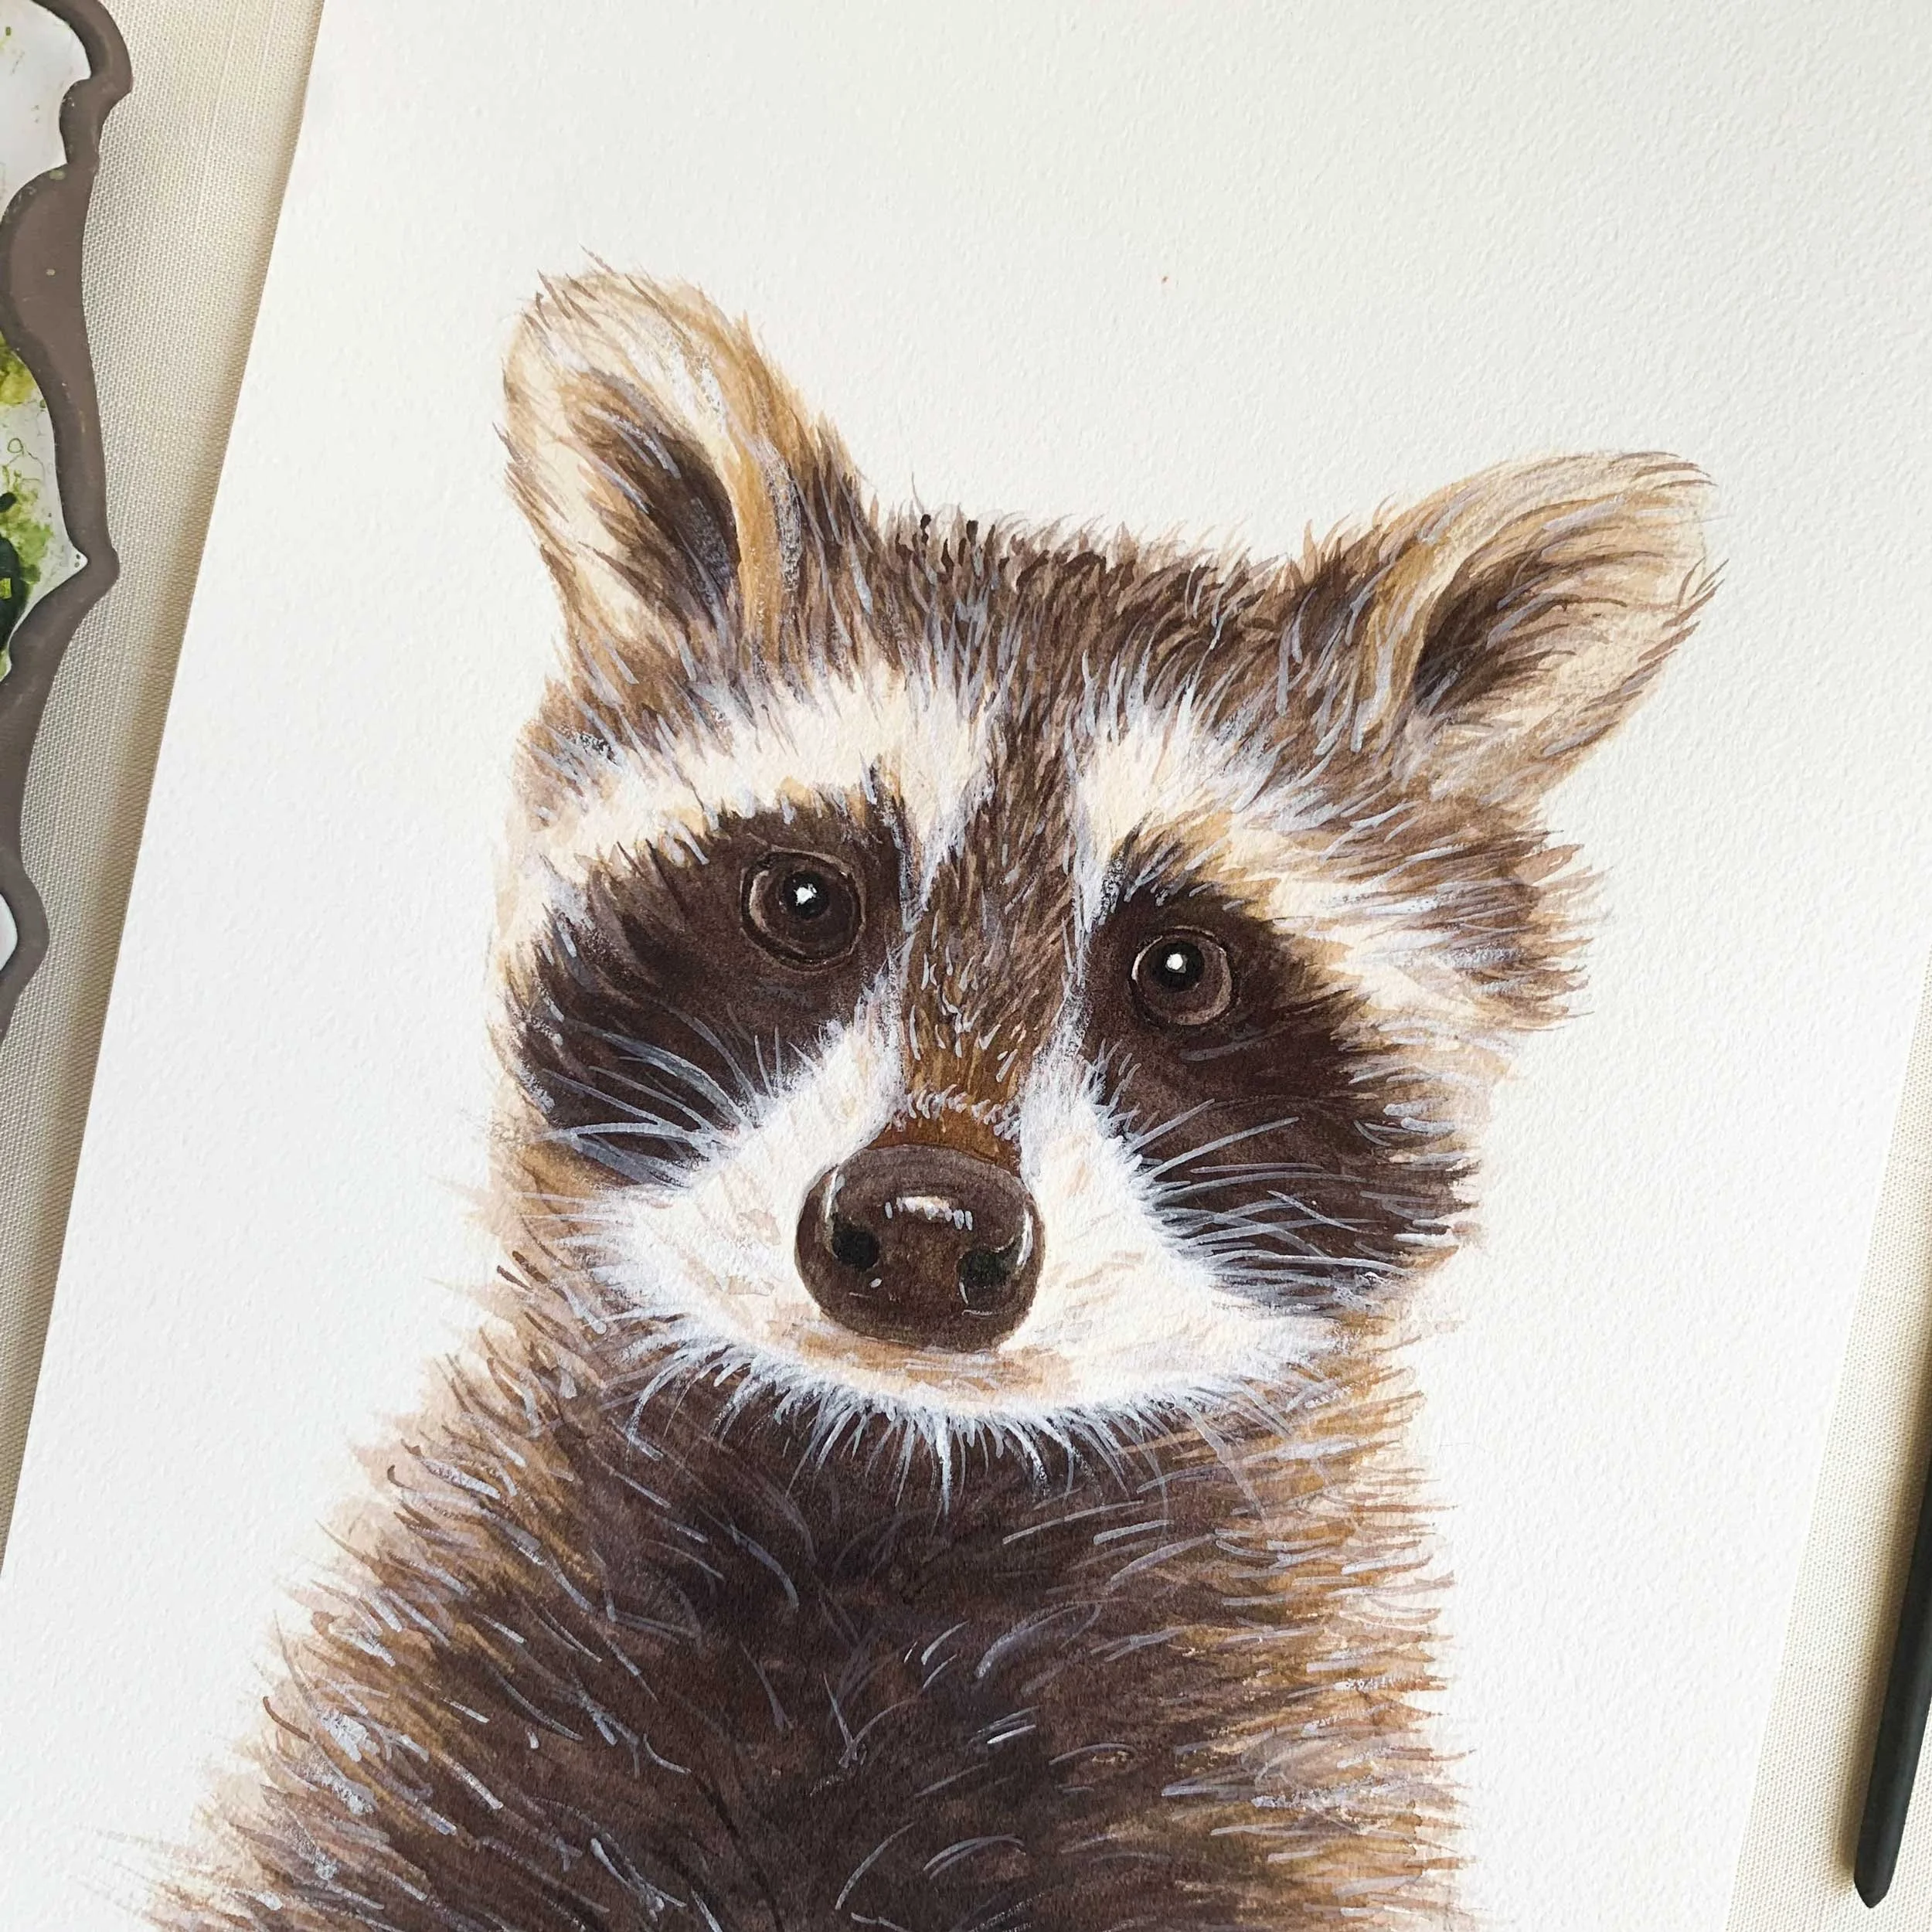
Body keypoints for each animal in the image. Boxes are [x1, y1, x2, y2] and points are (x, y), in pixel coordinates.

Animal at [157, 275, 1710, 1932]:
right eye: (803, 897)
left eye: (1181, 968)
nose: (919, 1223)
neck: (889, 1481)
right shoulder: (430, 1733)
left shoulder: (1272, 1803)